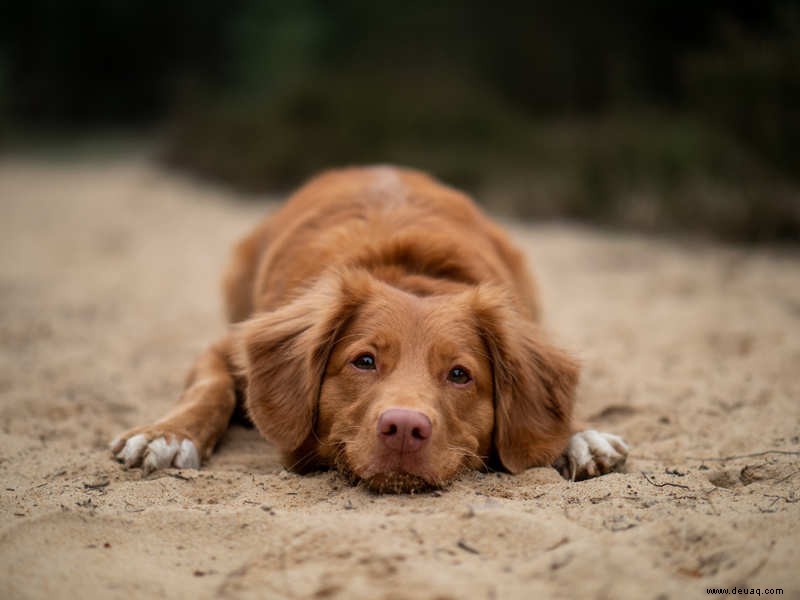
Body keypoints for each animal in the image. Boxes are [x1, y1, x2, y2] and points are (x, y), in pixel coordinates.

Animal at [109, 165, 628, 492]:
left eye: (460, 375)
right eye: (364, 361)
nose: (404, 428)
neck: (407, 273)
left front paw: (579, 434)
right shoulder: (227, 346)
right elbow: (210, 388)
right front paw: (167, 434)